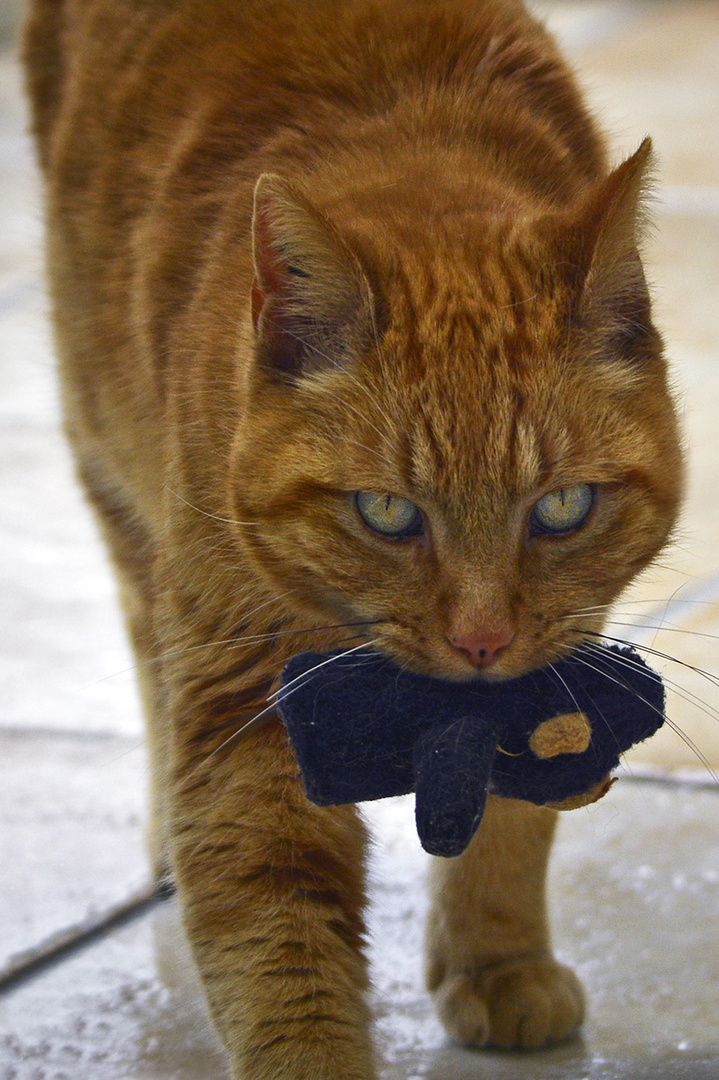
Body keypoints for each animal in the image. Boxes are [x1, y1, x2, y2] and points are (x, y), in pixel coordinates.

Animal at [25, 0, 682, 1075]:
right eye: (386, 514)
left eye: (559, 509)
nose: (480, 641)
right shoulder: (245, 701)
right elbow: (276, 929)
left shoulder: (546, 660)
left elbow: (513, 808)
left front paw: (497, 961)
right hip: (110, 464)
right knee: (144, 636)